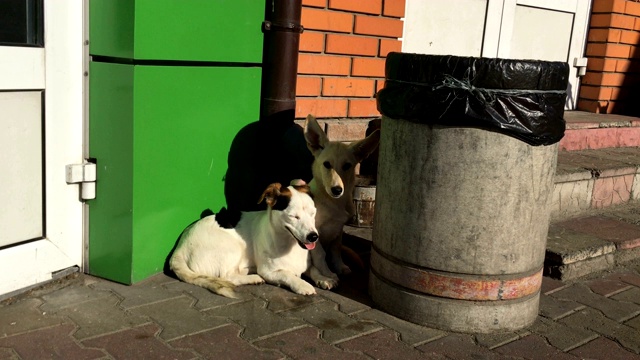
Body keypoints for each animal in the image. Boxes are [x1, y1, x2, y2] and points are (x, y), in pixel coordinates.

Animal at [170, 181, 340, 296]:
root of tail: (179, 248)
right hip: (232, 247)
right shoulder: (269, 271)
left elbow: (315, 270)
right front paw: (302, 284)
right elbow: (288, 275)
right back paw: (253, 278)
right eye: (294, 216)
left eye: (313, 213)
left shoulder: (305, 265)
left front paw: (325, 279)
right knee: (227, 276)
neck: (289, 244)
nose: (314, 237)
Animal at [304, 115, 380, 278]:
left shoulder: (338, 230)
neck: (332, 202)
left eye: (347, 166)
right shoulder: (314, 233)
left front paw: (339, 266)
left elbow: (336, 250)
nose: (337, 190)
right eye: (327, 164)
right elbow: (319, 255)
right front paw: (327, 274)